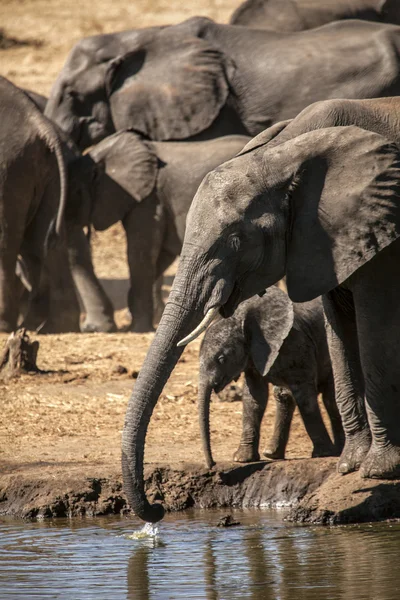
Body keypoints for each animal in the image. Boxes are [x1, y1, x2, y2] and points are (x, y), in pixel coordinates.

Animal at [68, 131, 250, 332]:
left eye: (75, 192)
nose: (88, 328)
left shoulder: (149, 200)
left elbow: (140, 254)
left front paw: (138, 328)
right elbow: (160, 256)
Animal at [198, 288, 344, 472]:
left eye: (221, 359)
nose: (212, 464)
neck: (242, 319)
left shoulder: (296, 344)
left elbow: (305, 396)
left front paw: (323, 454)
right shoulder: (253, 355)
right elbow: (254, 397)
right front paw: (242, 459)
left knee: (329, 399)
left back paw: (338, 450)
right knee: (283, 396)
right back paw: (272, 454)